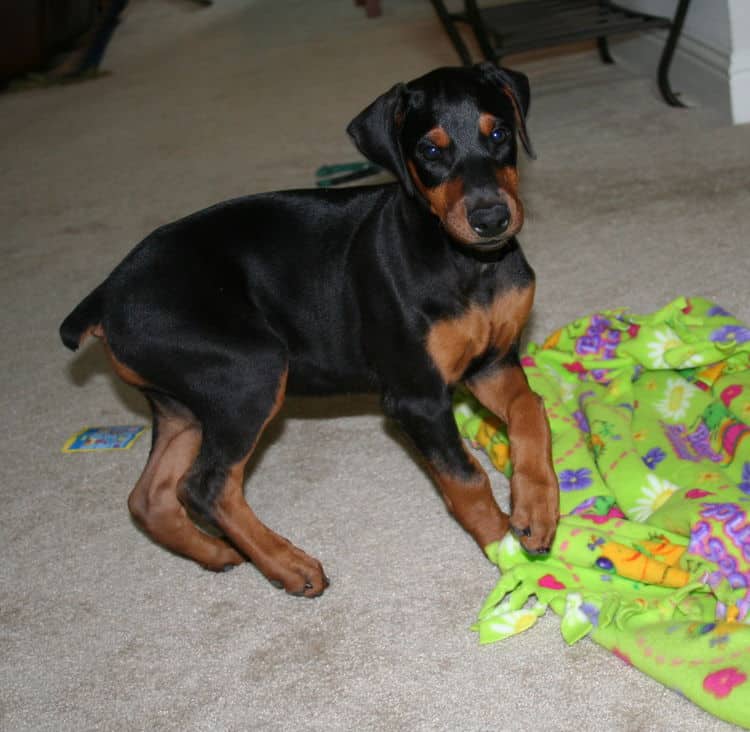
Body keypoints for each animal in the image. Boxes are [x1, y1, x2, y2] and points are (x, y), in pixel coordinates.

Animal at [61, 63, 560, 596]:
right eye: (429, 151)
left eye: (500, 134)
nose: (492, 218)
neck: (467, 263)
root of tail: (106, 295)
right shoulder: (416, 396)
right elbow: (465, 478)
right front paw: (506, 552)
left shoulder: (491, 363)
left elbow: (531, 410)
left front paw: (536, 511)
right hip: (248, 372)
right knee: (205, 486)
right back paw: (289, 565)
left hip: (188, 401)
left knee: (150, 496)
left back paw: (220, 554)